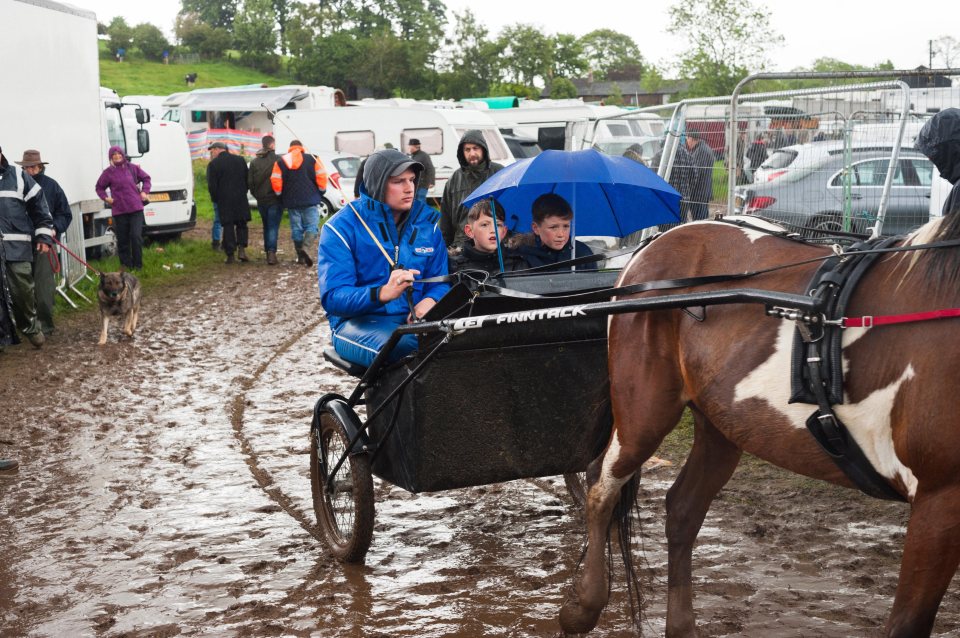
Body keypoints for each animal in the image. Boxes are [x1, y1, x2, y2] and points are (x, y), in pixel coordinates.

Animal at [560, 218, 960, 636]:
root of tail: (658, 241)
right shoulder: (940, 498)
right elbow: (907, 623)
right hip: (644, 414)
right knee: (601, 484)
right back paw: (583, 606)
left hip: (720, 427)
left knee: (683, 510)